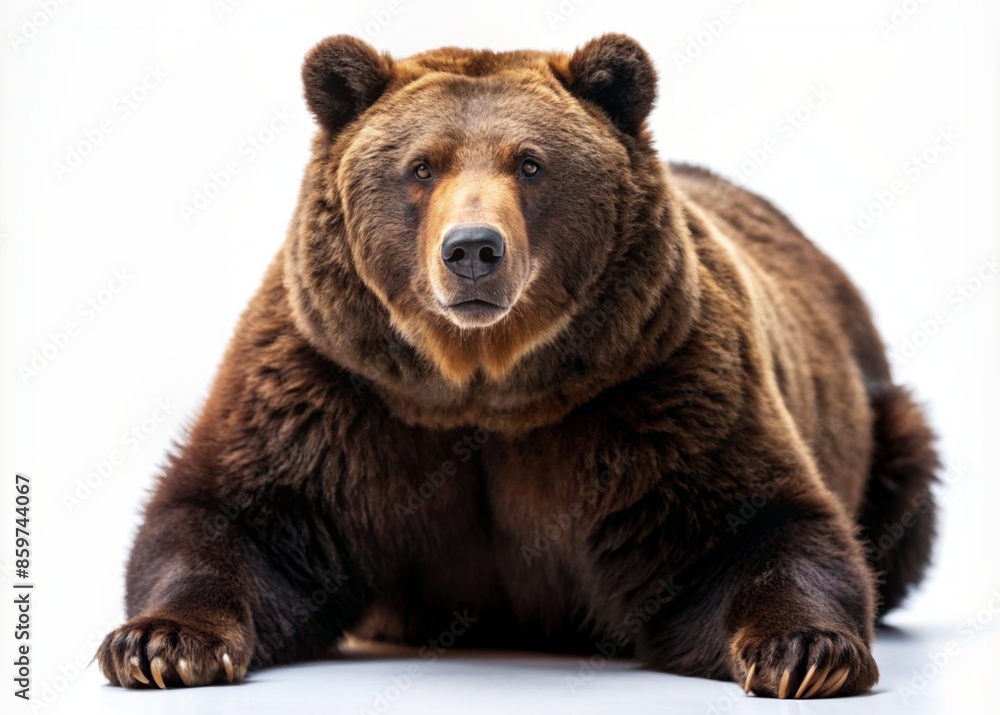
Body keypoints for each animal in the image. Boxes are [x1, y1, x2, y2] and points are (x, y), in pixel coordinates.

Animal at [96, 34, 938, 699]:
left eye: (531, 164)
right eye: (421, 167)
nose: (472, 249)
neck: (482, 386)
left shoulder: (652, 383)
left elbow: (755, 526)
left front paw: (806, 649)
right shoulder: (334, 383)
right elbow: (236, 515)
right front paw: (158, 642)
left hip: (881, 418)